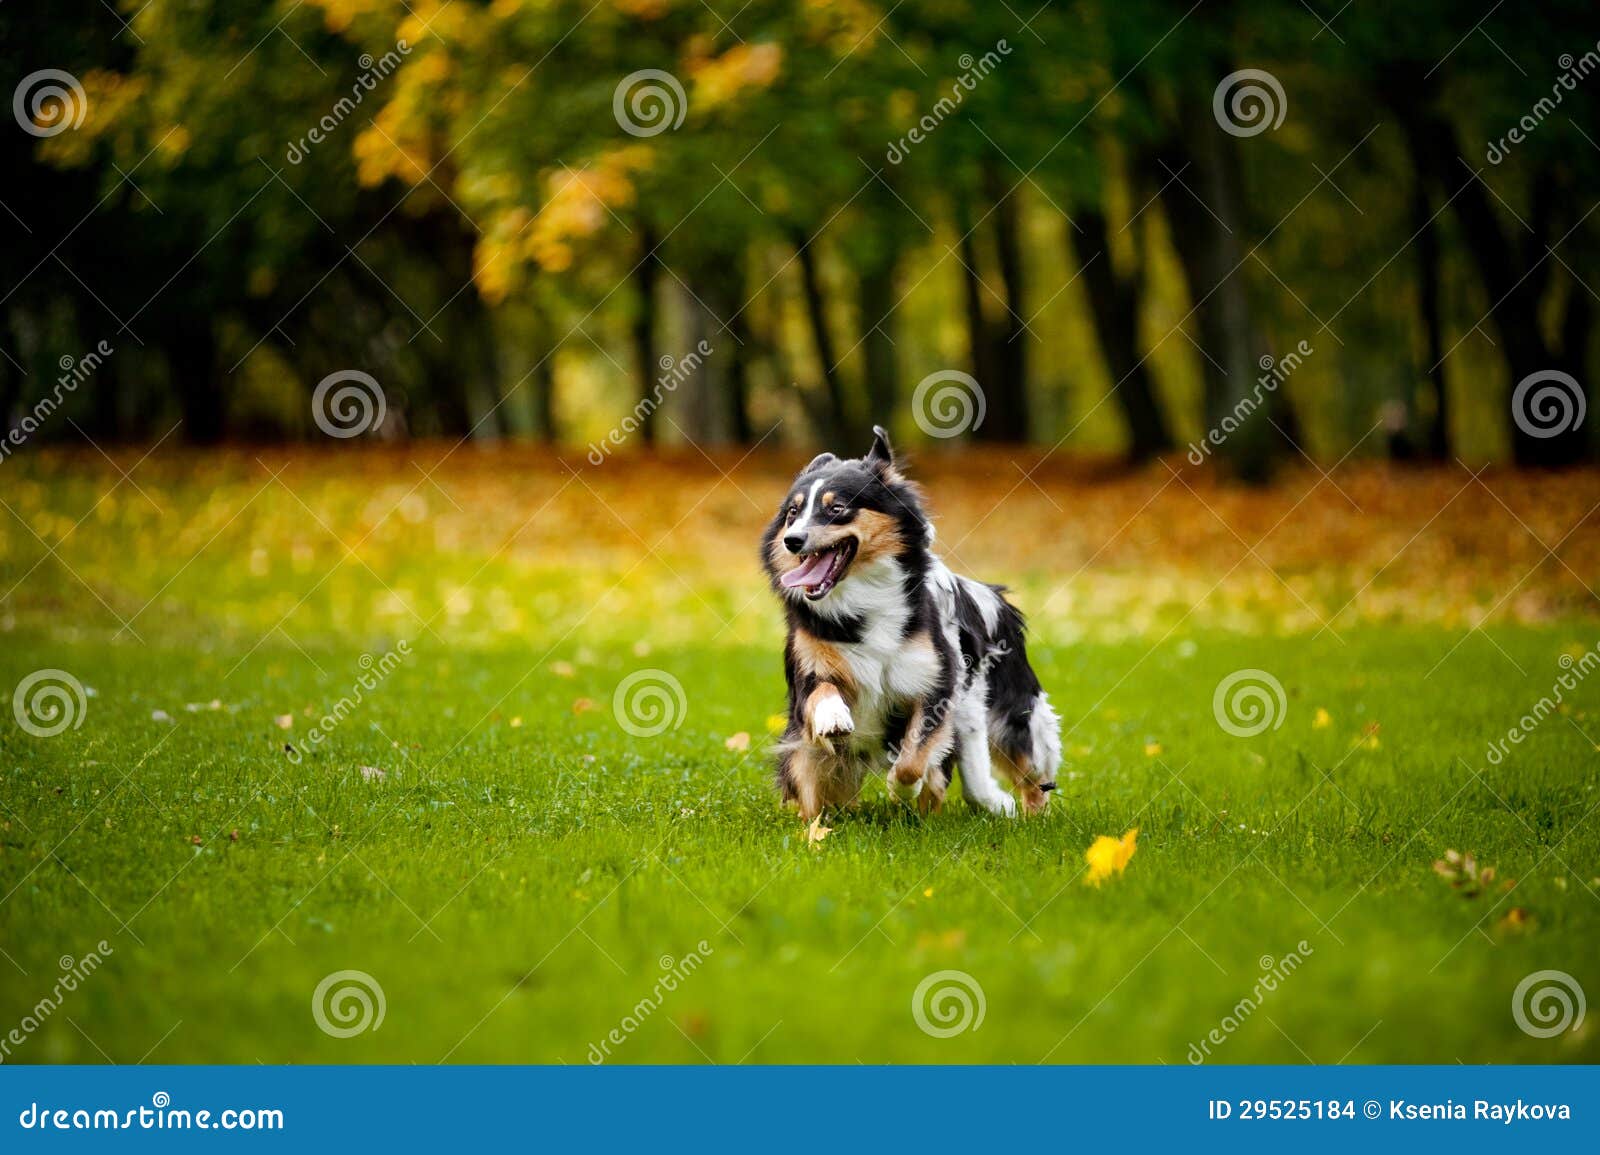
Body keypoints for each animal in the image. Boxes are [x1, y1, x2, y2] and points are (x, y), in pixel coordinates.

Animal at [761, 425, 1062, 819]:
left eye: (837, 509)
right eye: (793, 513)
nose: (792, 540)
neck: (864, 600)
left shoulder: (935, 683)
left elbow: (913, 760)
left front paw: (903, 789)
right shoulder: (807, 671)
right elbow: (820, 691)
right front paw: (832, 717)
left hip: (1012, 713)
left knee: (1029, 775)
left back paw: (1018, 811)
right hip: (809, 760)